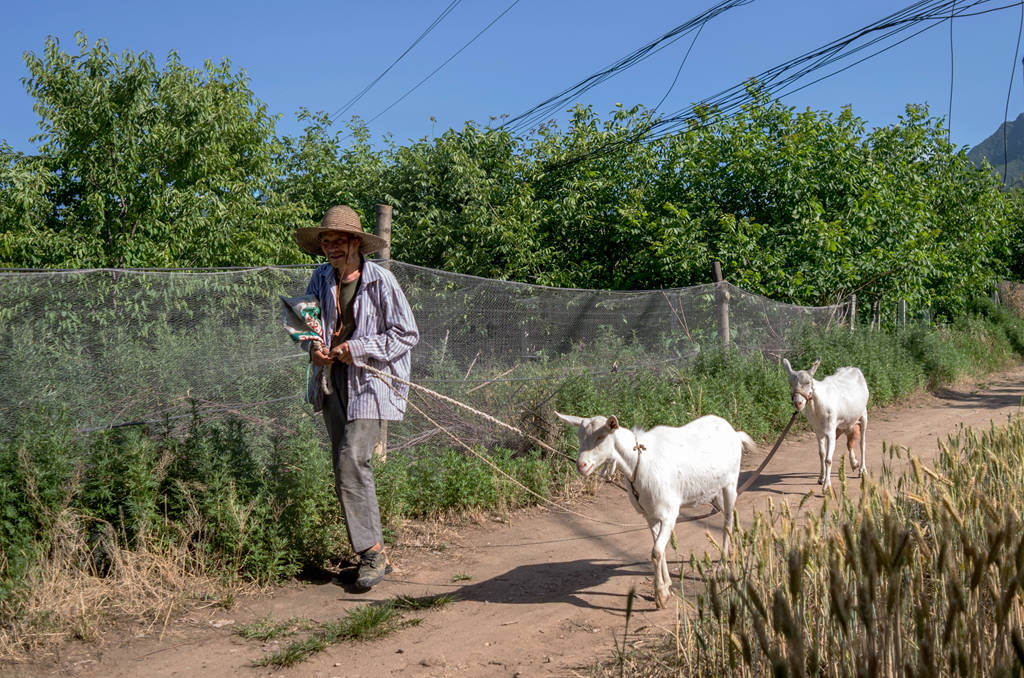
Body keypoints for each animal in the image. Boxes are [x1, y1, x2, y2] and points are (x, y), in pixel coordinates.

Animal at [557, 413, 757, 610]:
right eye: (579, 436)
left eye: (601, 437)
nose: (581, 465)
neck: (639, 462)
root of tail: (733, 432)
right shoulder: (650, 515)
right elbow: (659, 550)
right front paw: (667, 586)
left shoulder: (670, 514)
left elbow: (656, 552)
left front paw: (660, 594)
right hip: (713, 493)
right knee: (730, 516)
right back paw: (740, 549)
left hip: (730, 483)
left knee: (727, 522)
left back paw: (723, 566)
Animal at [786, 356, 868, 493]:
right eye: (790, 383)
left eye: (808, 382)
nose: (798, 403)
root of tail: (853, 369)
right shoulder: (818, 431)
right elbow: (822, 454)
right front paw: (821, 477)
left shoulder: (830, 431)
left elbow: (828, 460)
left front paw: (826, 486)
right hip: (844, 423)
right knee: (849, 441)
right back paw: (854, 463)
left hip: (863, 414)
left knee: (862, 443)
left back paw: (862, 469)